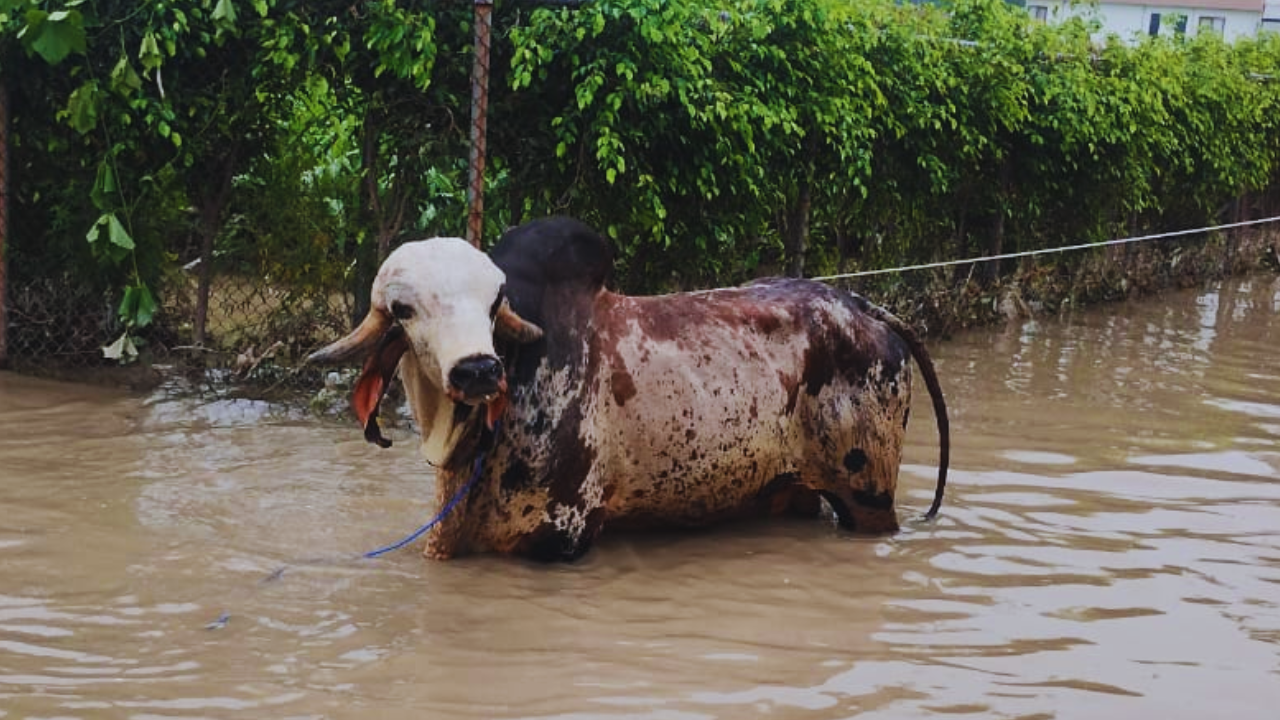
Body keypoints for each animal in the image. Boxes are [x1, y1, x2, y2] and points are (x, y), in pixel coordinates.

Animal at [307, 217, 952, 561]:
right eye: (404, 309)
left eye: (495, 303)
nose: (478, 370)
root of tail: (863, 305)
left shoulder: (561, 539)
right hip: (791, 490)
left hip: (867, 495)